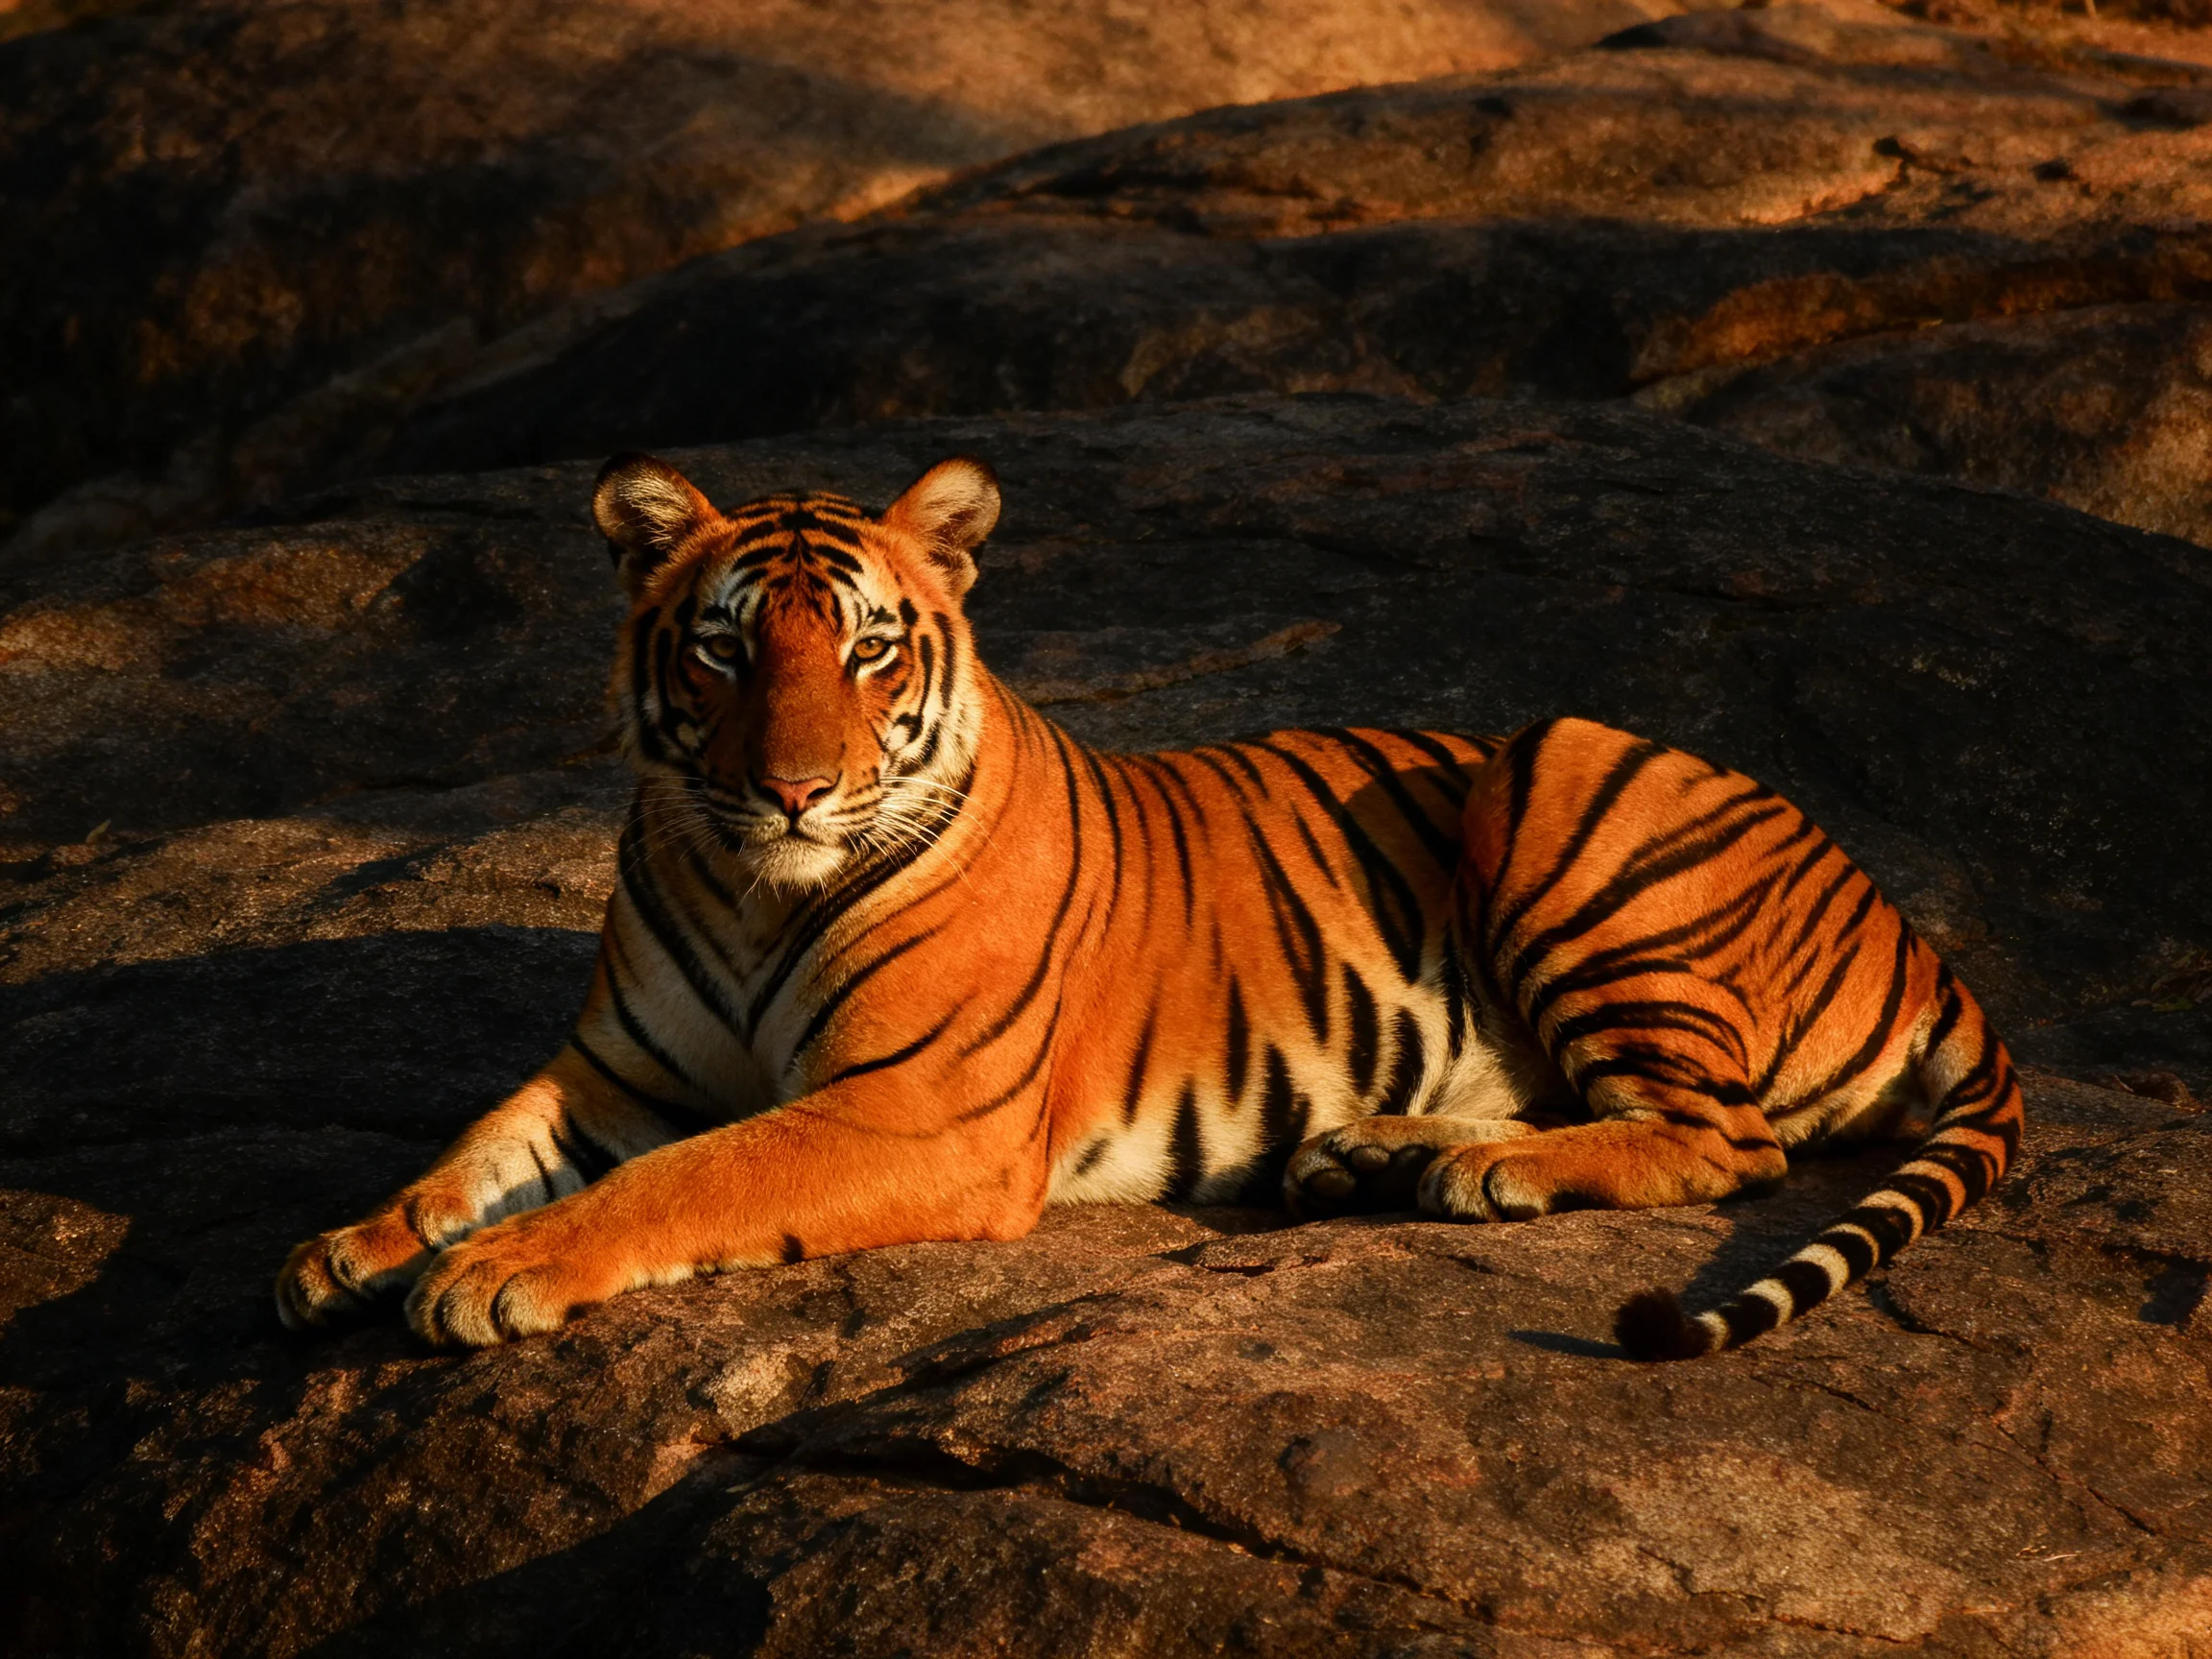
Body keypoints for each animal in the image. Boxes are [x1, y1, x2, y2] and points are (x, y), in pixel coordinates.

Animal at [274, 452, 2023, 1360]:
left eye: (865, 650)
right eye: (720, 648)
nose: (795, 789)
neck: (751, 882)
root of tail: (1914, 934)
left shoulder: (914, 1109)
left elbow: (688, 1179)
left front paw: (496, 1272)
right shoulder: (618, 1072)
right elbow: (479, 1145)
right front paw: (352, 1247)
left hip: (1562, 763)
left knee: (1728, 1139)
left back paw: (1481, 1177)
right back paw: (1380, 1150)